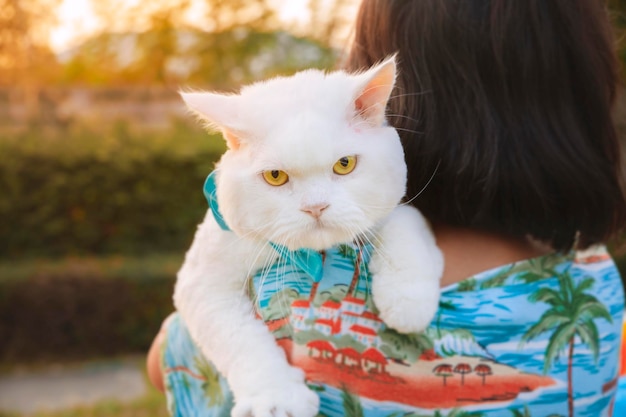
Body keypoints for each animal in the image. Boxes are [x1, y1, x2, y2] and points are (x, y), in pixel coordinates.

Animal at [173, 57, 442, 416]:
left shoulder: (398, 211)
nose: (316, 206)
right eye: (275, 176)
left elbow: (403, 224)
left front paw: (407, 299)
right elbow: (239, 339)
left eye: (345, 164)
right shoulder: (202, 282)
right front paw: (276, 397)